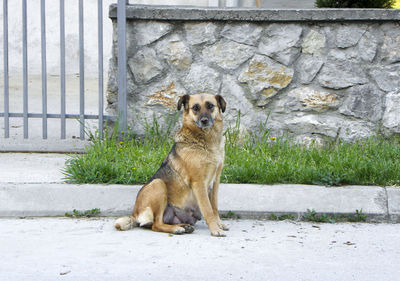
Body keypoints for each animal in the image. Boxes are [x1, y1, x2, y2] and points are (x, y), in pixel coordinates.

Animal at [115, 93, 228, 235]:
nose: (204, 121)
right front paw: (215, 229)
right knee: (156, 225)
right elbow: (208, 209)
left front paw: (218, 224)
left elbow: (214, 207)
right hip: (158, 184)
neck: (206, 142)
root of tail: (134, 214)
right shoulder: (199, 182)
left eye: (210, 106)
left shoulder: (215, 181)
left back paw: (185, 226)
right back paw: (176, 229)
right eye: (195, 108)